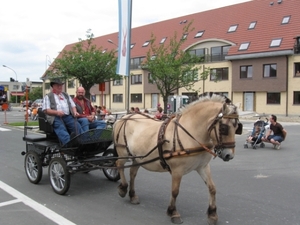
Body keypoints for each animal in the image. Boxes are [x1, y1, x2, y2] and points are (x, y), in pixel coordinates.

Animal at [112, 94, 241, 224]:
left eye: (237, 127)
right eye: (223, 128)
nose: (229, 155)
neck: (191, 134)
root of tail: (124, 117)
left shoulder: (203, 167)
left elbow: (212, 188)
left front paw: (212, 214)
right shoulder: (177, 170)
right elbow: (175, 191)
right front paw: (173, 212)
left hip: (138, 157)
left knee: (132, 173)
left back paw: (132, 195)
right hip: (123, 153)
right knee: (119, 164)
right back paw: (123, 188)